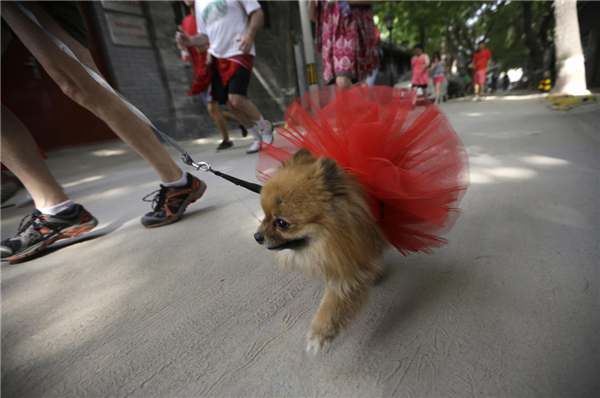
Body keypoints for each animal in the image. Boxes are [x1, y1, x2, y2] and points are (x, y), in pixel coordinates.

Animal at [254, 149, 390, 354]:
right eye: (264, 215)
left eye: (282, 223)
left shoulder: (349, 270)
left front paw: (320, 333)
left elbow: (334, 303)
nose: (257, 236)